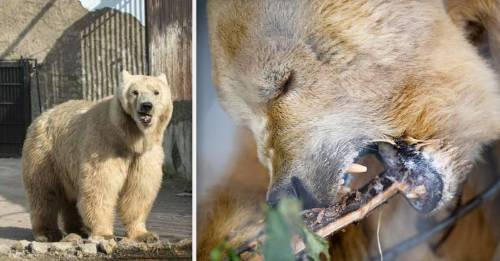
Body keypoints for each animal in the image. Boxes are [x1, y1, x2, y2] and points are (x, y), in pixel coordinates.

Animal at [21, 69, 173, 242]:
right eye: (135, 92)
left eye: (156, 92)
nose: (146, 106)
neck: (129, 137)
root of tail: (42, 116)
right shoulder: (104, 146)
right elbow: (100, 186)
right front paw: (104, 234)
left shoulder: (144, 154)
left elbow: (138, 191)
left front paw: (145, 234)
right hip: (46, 153)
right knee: (44, 192)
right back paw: (47, 233)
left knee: (70, 197)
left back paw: (78, 229)